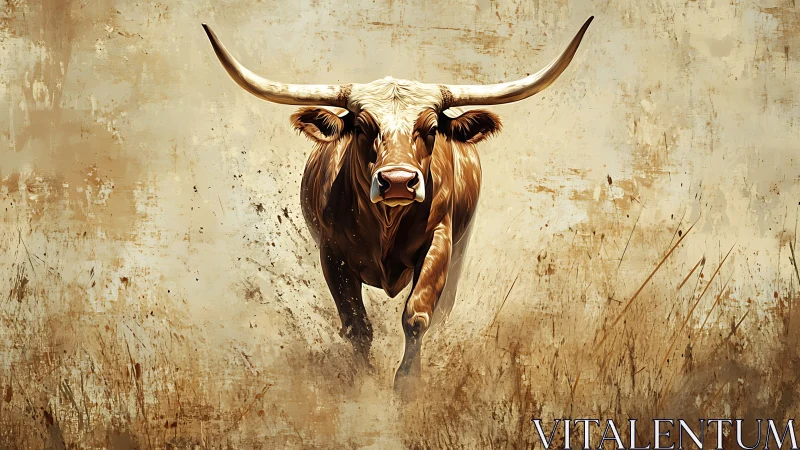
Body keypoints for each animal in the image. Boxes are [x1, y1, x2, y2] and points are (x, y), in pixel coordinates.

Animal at [202, 17, 593, 391]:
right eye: (362, 127)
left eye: (431, 128)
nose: (399, 181)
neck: (386, 224)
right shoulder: (332, 253)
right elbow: (356, 325)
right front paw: (363, 385)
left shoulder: (440, 243)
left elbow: (417, 315)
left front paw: (407, 385)